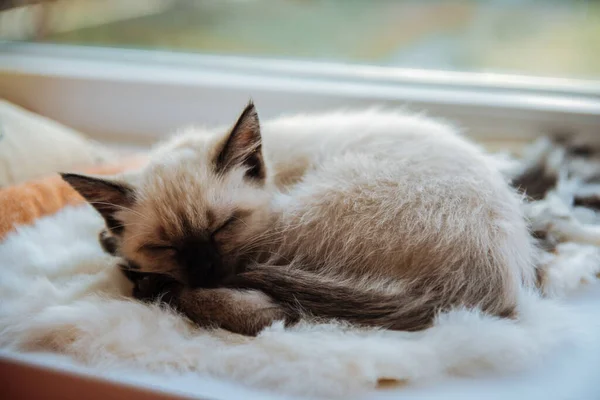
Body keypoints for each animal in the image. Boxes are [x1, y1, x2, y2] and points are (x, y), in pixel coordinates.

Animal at [63, 102, 536, 334]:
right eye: (164, 246)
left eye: (224, 226)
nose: (204, 269)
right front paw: (112, 238)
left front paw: (125, 256)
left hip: (291, 223)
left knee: (269, 313)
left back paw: (154, 284)